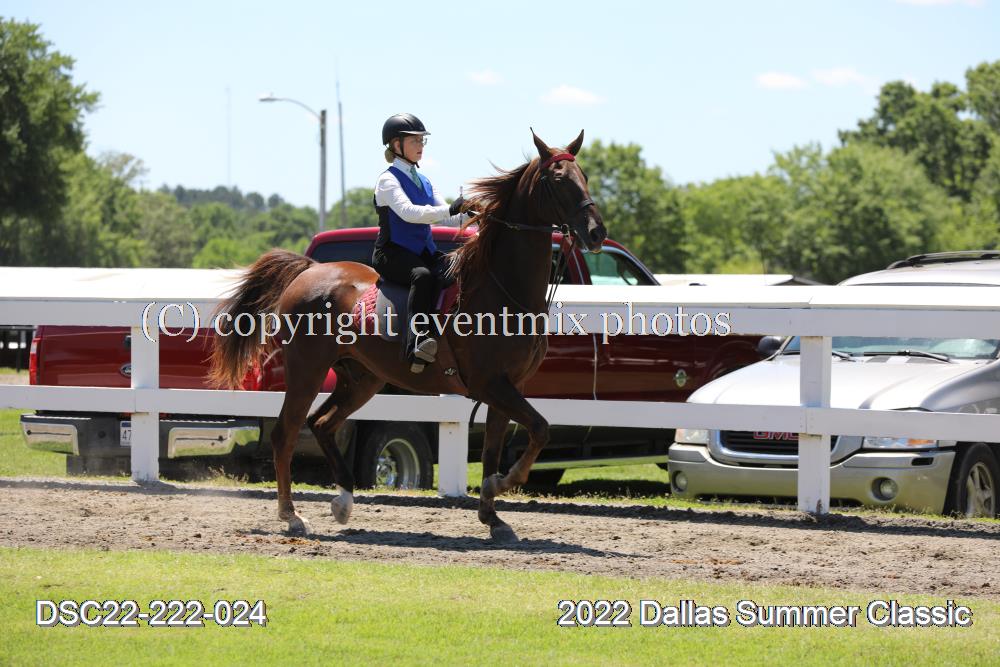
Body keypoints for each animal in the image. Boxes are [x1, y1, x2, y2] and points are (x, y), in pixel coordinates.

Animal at [208, 129, 607, 542]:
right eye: (558, 179)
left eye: (584, 176)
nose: (597, 232)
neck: (501, 288)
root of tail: (309, 270)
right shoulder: (491, 385)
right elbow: (540, 430)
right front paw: (504, 483)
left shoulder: (509, 387)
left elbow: (499, 448)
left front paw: (493, 517)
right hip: (308, 370)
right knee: (285, 434)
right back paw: (291, 516)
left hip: (362, 379)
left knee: (322, 423)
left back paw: (343, 501)